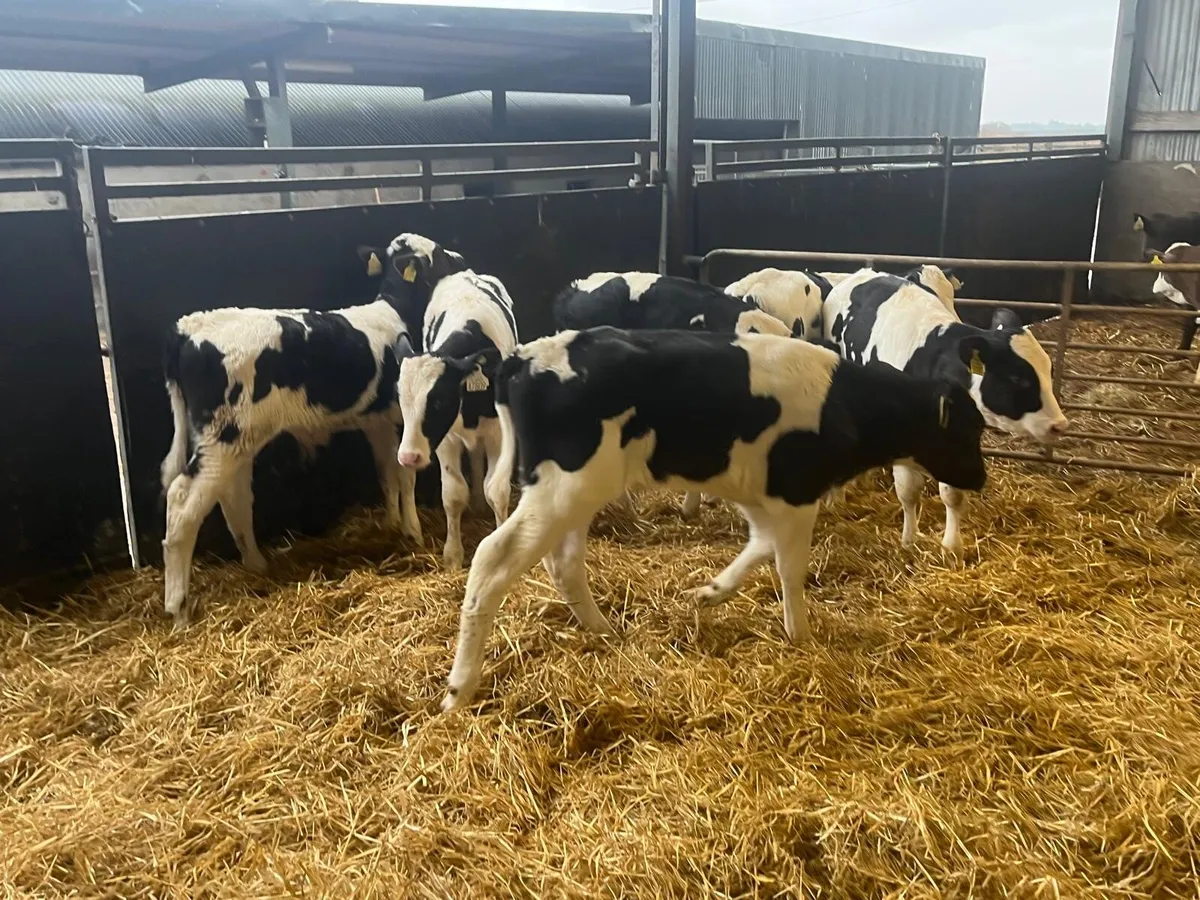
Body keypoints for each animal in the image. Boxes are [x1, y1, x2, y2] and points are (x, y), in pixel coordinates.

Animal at [158, 232, 462, 627]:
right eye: (438, 253)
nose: (460, 258)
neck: (395, 310)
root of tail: (188, 328)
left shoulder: (376, 420)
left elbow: (387, 474)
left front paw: (393, 523)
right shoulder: (400, 417)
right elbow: (405, 476)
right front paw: (413, 531)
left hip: (232, 438)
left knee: (233, 496)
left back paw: (256, 564)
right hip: (225, 435)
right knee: (183, 502)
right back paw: (178, 607)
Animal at [395, 268, 520, 570]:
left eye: (439, 401)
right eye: (402, 400)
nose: (409, 457)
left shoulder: (499, 431)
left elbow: (496, 490)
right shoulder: (446, 438)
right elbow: (452, 495)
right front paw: (452, 555)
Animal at [437, 327, 988, 711]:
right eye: (968, 430)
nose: (981, 478)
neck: (844, 402)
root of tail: (525, 355)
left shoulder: (761, 495)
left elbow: (760, 547)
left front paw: (711, 593)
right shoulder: (796, 491)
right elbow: (789, 568)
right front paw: (801, 635)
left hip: (575, 492)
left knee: (564, 561)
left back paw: (602, 630)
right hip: (563, 485)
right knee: (493, 557)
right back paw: (460, 687)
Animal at [824, 269, 1067, 552]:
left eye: (1048, 370)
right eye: (1018, 378)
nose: (1059, 425)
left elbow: (952, 494)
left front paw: (952, 546)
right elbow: (908, 491)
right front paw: (909, 539)